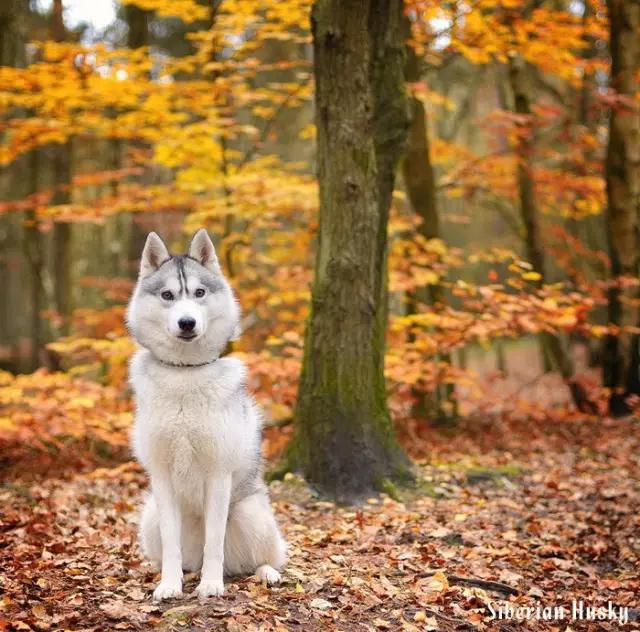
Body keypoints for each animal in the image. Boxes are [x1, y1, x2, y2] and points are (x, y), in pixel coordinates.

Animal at [127, 230, 284, 600]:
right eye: (168, 295)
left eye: (199, 293)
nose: (187, 322)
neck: (185, 374)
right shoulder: (162, 478)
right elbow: (172, 545)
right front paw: (169, 585)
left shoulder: (218, 475)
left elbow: (215, 541)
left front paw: (211, 585)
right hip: (150, 515)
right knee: (180, 555)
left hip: (251, 514)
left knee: (261, 559)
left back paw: (264, 573)